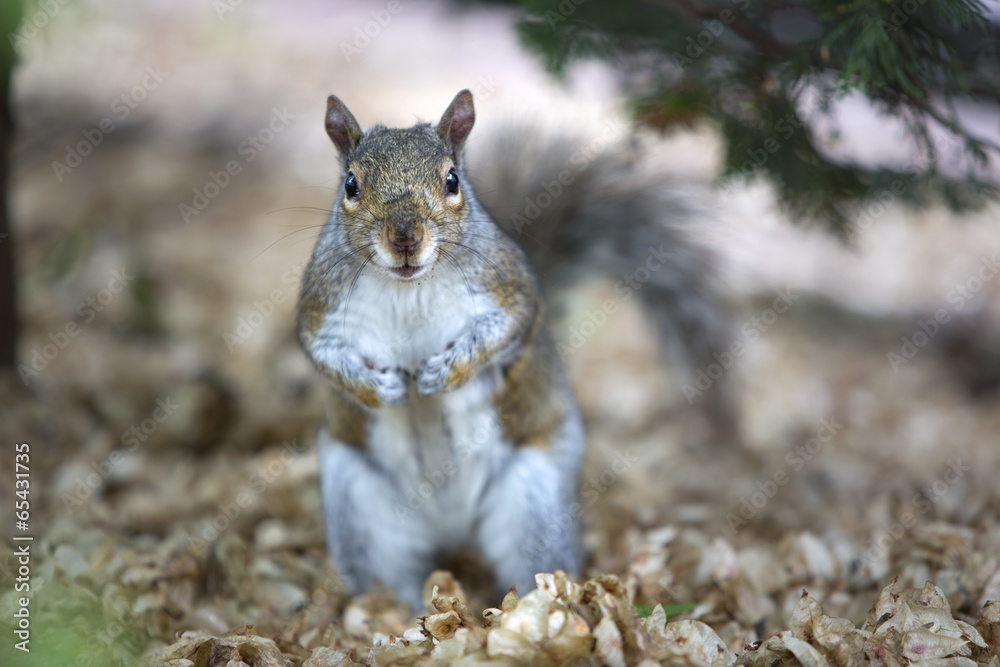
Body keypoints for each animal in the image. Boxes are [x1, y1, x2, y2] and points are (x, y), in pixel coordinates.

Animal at [296, 90, 732, 609]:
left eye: (452, 180)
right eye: (351, 185)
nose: (405, 237)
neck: (408, 287)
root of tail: (452, 528)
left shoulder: (510, 290)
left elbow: (500, 332)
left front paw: (443, 372)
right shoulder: (320, 307)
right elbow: (322, 353)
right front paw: (379, 388)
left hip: (534, 496)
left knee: (534, 561)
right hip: (358, 504)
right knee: (387, 572)